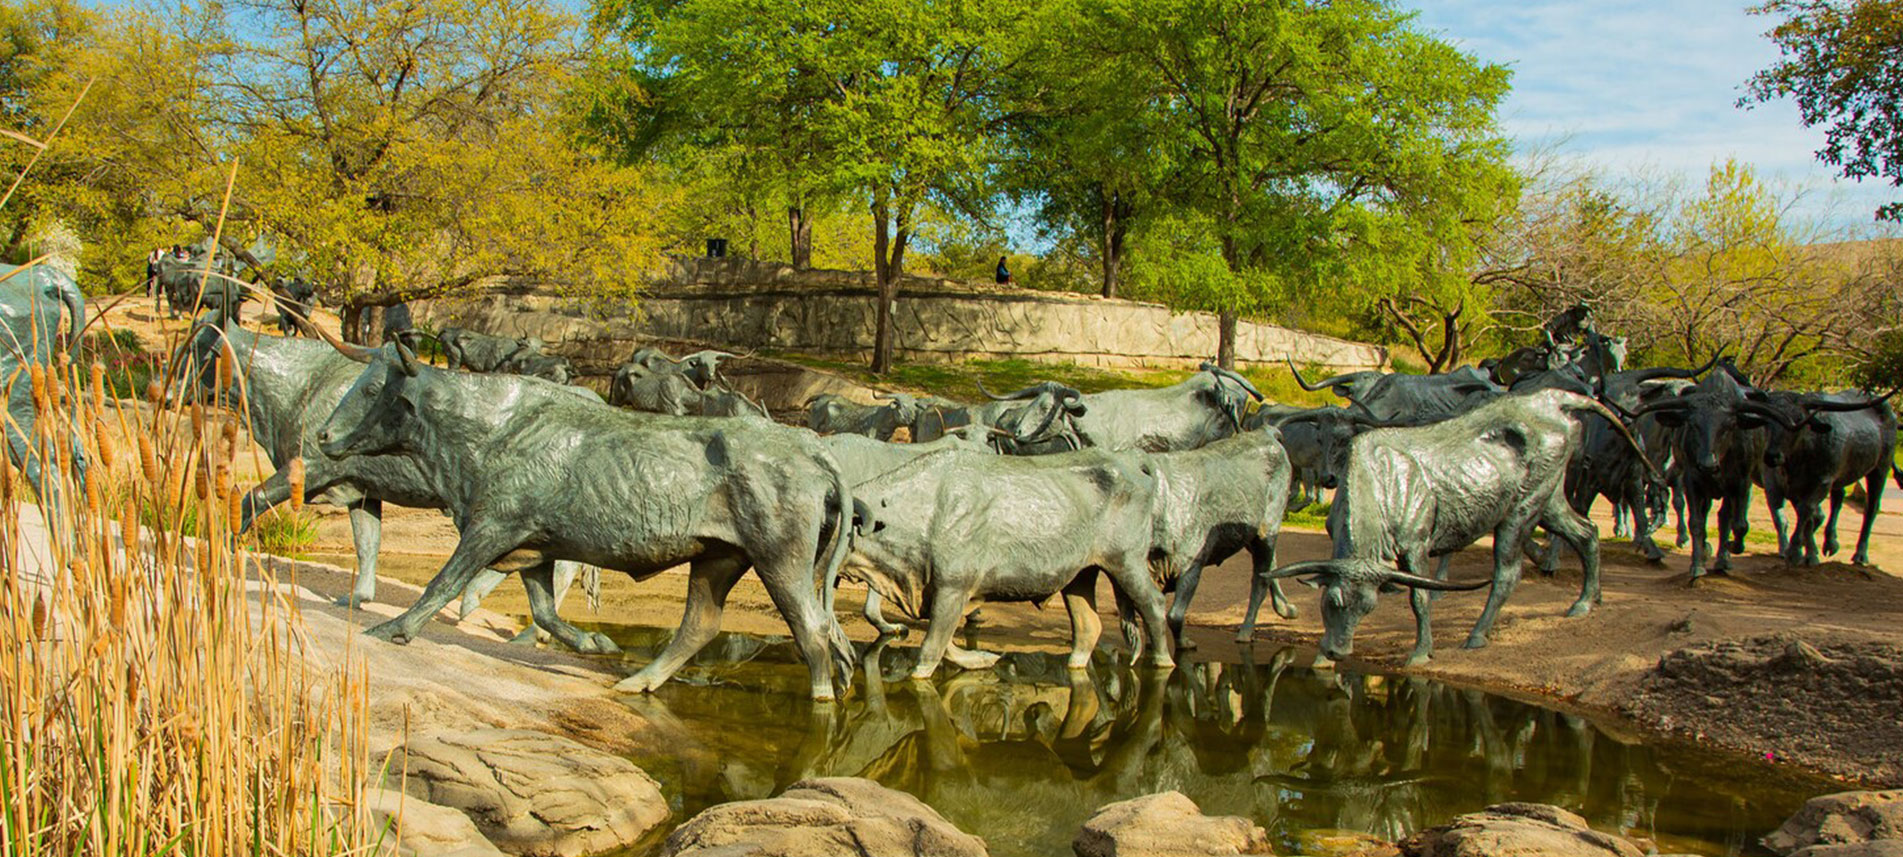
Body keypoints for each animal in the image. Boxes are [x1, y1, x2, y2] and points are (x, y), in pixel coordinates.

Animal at [314, 342, 857, 699]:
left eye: (371, 390)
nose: (322, 435)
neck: (490, 430)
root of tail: (807, 445)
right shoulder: (533, 545)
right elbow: (543, 611)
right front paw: (595, 641)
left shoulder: (490, 527)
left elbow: (442, 582)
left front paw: (394, 629)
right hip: (719, 558)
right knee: (700, 625)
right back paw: (638, 681)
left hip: (779, 560)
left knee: (812, 627)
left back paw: (823, 700)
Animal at [842, 447, 1176, 679]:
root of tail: (1130, 457)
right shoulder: (938, 592)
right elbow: (944, 642)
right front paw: (981, 659)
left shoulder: (953, 587)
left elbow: (931, 650)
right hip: (1081, 574)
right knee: (1087, 626)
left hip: (1126, 561)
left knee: (1153, 604)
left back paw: (1163, 661)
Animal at [1263, 390, 1655, 666]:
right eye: (1333, 602)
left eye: (1369, 610)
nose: (1339, 653)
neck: (1380, 478)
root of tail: (1552, 401)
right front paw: (1321, 654)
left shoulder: (1416, 545)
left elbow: (1419, 598)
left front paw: (1421, 651)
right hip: (1550, 501)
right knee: (1586, 533)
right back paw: (1587, 600)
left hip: (1522, 511)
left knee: (1508, 573)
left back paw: (1478, 635)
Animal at [1755, 391, 1898, 566]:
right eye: (1767, 419)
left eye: (1799, 420)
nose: (1772, 456)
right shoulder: (1793, 487)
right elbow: (1807, 515)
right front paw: (1810, 553)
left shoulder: (1823, 481)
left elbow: (1806, 510)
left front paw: (1794, 552)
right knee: (1838, 496)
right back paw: (1831, 543)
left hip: (1881, 467)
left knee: (1871, 506)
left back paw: (1860, 554)